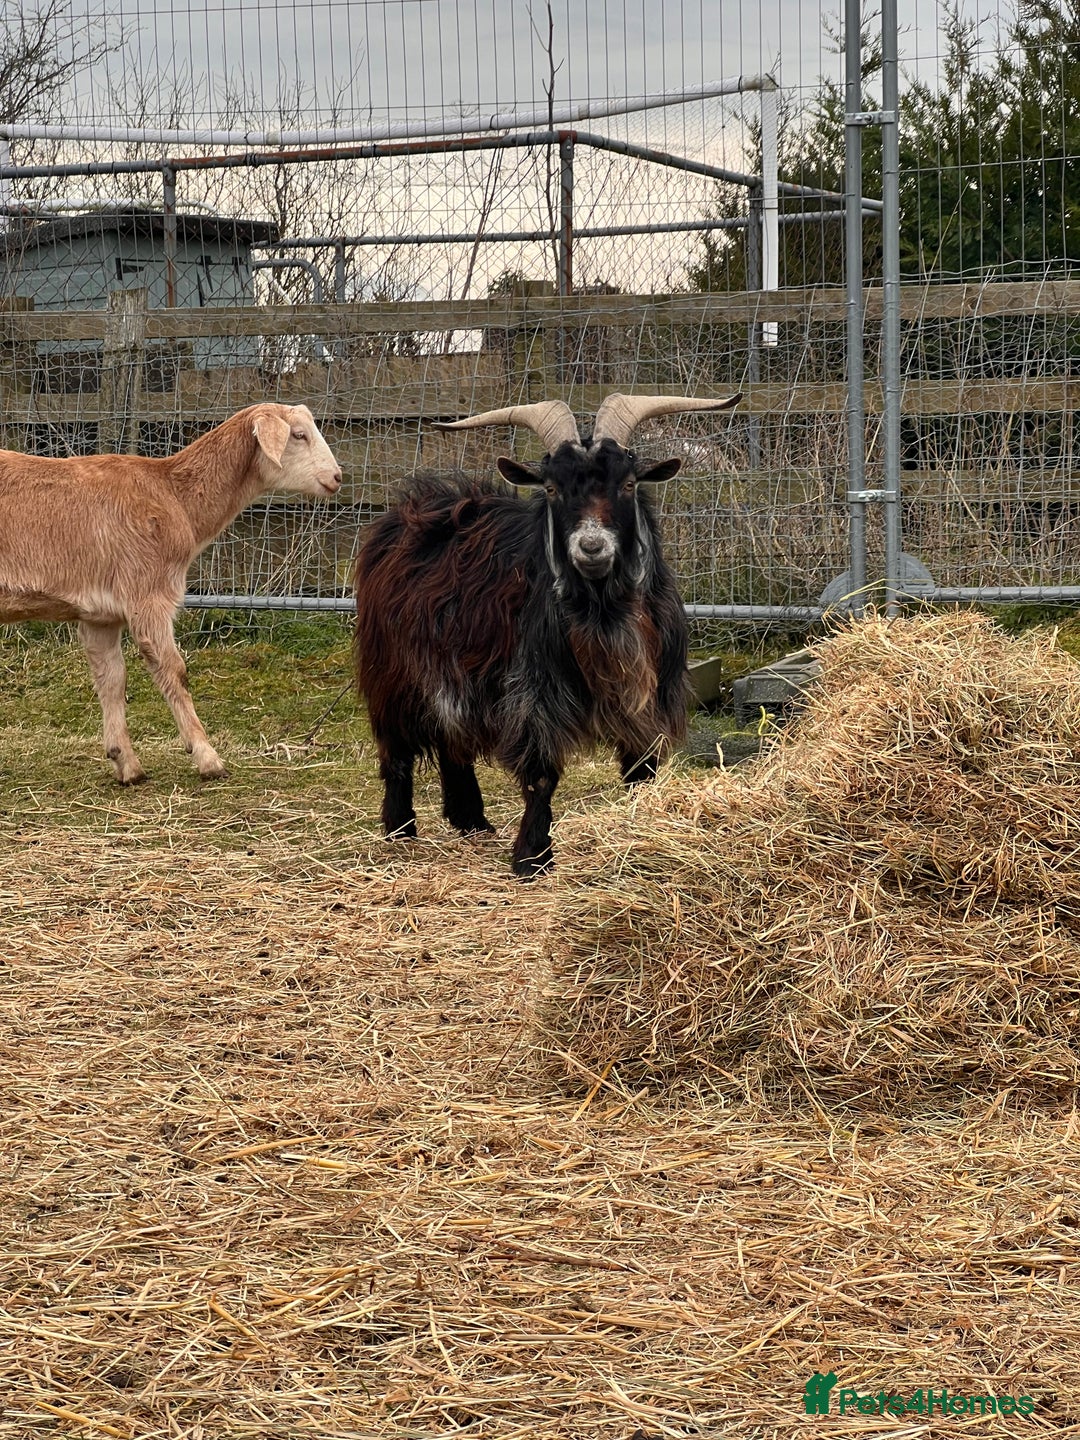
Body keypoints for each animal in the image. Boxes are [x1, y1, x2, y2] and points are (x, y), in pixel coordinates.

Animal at [0, 403, 341, 783]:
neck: (175, 495)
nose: (337, 476)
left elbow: (111, 679)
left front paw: (126, 764)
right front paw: (208, 758)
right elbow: (174, 670)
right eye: (298, 434)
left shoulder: (100, 614)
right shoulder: (149, 594)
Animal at [354, 392, 739, 876]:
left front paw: (640, 828)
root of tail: (408, 511)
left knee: (452, 739)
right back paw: (400, 829)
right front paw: (532, 856)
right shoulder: (533, 692)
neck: (602, 611)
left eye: (629, 484)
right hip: (392, 670)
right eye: (553, 488)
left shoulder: (650, 695)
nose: (591, 548)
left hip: (451, 672)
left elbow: (642, 768)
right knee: (397, 749)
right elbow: (541, 774)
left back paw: (471, 820)